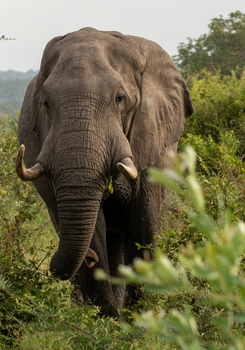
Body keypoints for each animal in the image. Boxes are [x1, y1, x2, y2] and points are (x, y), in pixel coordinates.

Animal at [16, 27, 194, 318]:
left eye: (119, 98)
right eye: (46, 103)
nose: (88, 257)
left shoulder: (152, 141)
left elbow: (144, 226)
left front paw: (136, 319)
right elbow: (96, 229)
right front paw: (108, 319)